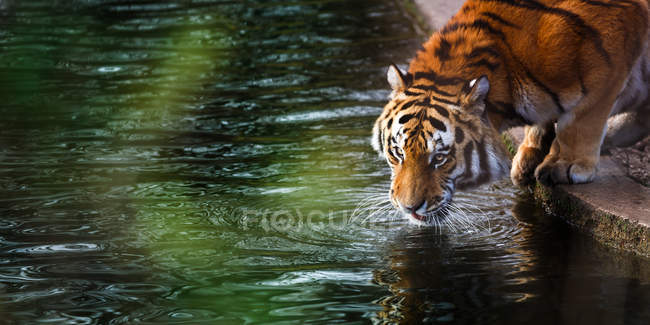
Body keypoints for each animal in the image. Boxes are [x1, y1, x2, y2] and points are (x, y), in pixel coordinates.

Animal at [370, 0, 648, 223]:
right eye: (398, 153)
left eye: (440, 158)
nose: (409, 208)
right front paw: (530, 156)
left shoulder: (610, 64)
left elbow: (581, 121)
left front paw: (565, 164)